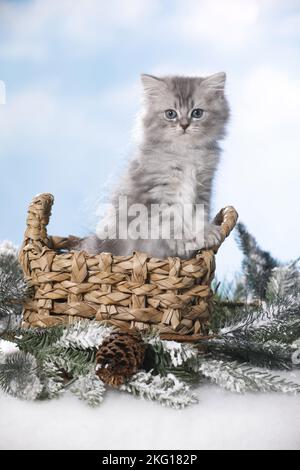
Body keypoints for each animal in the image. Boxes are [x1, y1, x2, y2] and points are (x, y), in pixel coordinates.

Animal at [79, 72, 230, 260]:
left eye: (197, 113)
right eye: (170, 114)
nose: (184, 125)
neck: (186, 153)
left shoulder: (202, 188)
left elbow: (199, 215)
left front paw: (205, 234)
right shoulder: (157, 192)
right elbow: (170, 221)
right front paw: (182, 241)